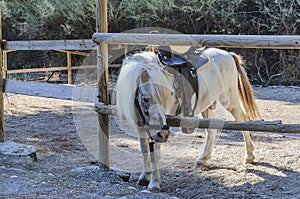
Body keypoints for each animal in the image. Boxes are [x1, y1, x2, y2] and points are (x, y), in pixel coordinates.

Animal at [115, 47, 260, 191]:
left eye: (165, 97)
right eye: (145, 99)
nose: (163, 134)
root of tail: (228, 54)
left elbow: (155, 153)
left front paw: (154, 183)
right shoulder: (141, 126)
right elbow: (145, 150)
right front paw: (144, 177)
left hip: (229, 100)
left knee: (242, 120)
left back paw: (249, 155)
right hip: (207, 105)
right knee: (211, 131)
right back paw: (203, 159)